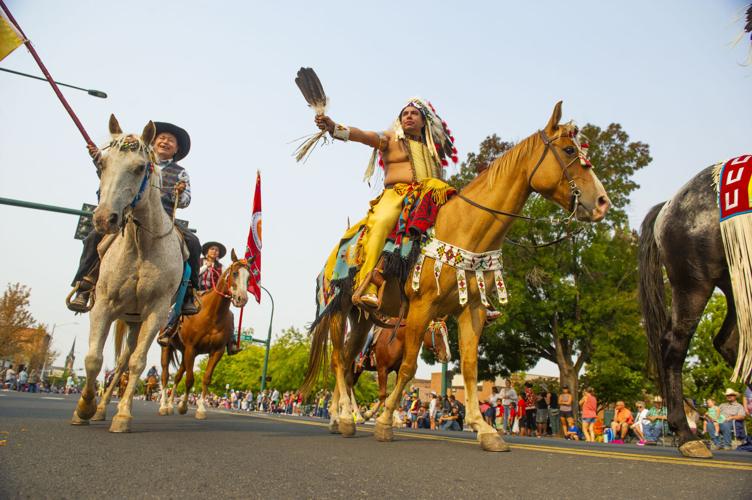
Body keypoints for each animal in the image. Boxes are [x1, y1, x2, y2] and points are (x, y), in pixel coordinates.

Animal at [70, 115, 185, 432]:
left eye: (139, 168)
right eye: (102, 164)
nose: (103, 219)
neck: (140, 244)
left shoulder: (156, 311)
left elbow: (137, 363)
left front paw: (122, 416)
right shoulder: (103, 305)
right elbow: (93, 359)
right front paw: (84, 408)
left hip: (136, 320)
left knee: (125, 360)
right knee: (116, 361)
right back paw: (97, 409)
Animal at [160, 249, 251, 418]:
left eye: (249, 277)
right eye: (235, 273)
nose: (242, 299)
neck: (212, 315)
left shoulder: (216, 351)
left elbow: (206, 378)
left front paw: (199, 408)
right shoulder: (191, 348)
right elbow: (190, 380)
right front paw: (183, 406)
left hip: (184, 352)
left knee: (177, 376)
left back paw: (170, 405)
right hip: (167, 347)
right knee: (165, 374)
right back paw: (163, 406)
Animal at [302, 102, 612, 454]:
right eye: (570, 150)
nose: (602, 202)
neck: (465, 228)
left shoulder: (471, 310)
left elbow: (470, 369)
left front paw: (485, 430)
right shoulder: (421, 307)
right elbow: (408, 368)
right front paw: (384, 423)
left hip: (363, 317)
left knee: (347, 360)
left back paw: (340, 420)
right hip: (339, 309)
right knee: (339, 361)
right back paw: (343, 416)